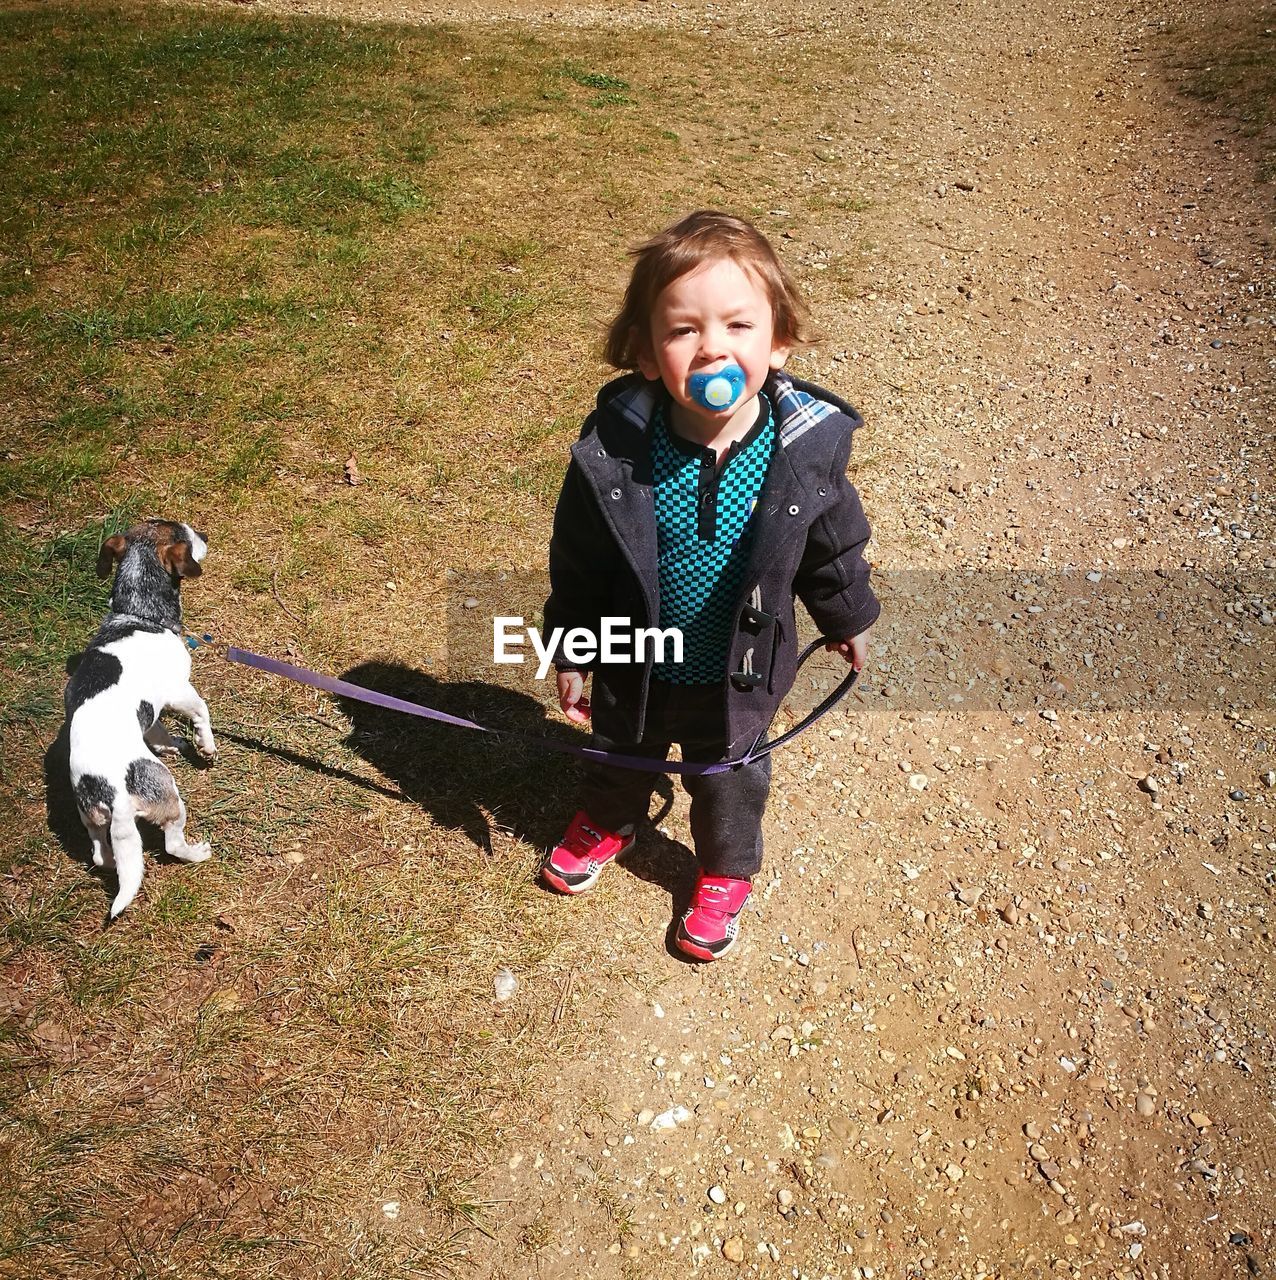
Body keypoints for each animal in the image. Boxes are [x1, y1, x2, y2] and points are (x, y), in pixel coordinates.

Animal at [64, 519, 215, 921]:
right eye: (186, 534)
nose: (207, 536)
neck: (139, 614)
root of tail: (113, 793)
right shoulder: (179, 691)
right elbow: (202, 711)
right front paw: (206, 745)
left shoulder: (151, 709)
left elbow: (157, 728)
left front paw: (171, 743)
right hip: (170, 797)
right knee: (173, 844)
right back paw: (197, 853)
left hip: (92, 820)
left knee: (102, 856)